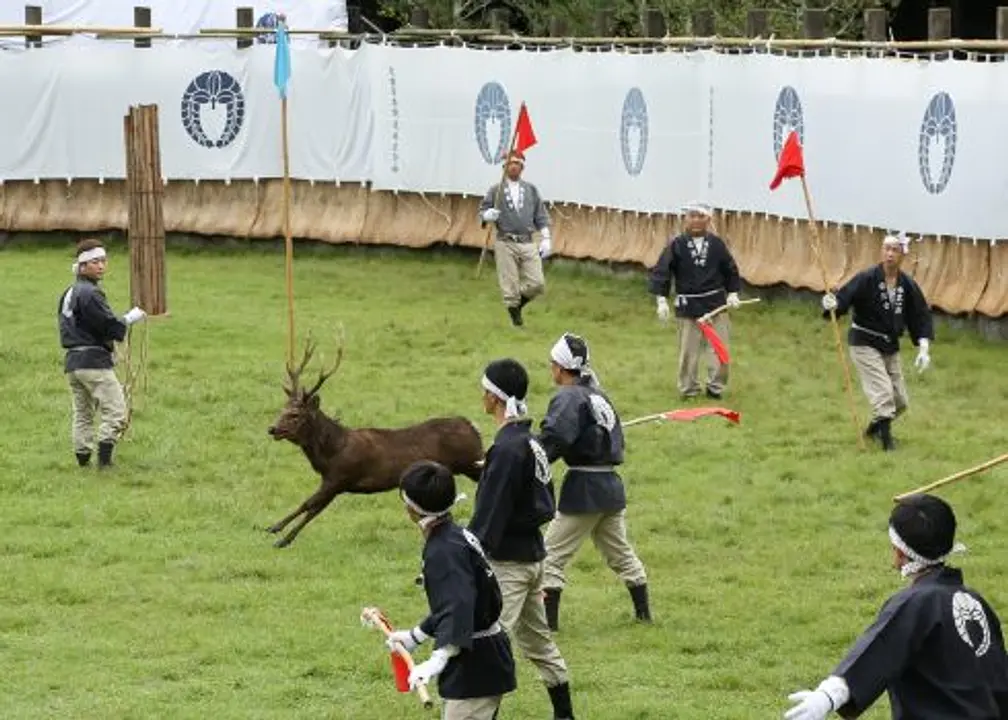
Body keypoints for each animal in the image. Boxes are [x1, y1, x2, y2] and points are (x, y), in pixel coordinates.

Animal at [266, 328, 485, 544]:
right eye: (282, 409)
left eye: (295, 415)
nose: (272, 429)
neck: (331, 453)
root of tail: (473, 426)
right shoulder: (335, 482)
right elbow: (313, 509)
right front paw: (281, 536)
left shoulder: (340, 476)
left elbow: (307, 504)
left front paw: (276, 530)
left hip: (471, 461)